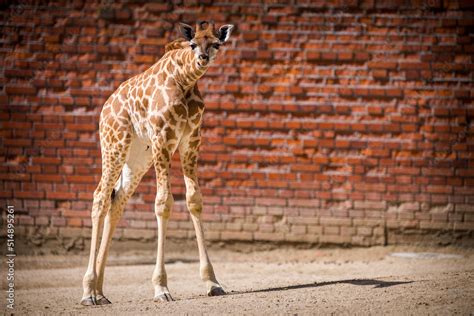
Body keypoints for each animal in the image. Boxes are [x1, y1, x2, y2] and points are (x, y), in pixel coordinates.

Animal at [82, 21, 235, 304]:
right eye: (193, 44)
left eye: (216, 44)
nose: (202, 58)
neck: (185, 81)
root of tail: (104, 109)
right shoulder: (163, 138)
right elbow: (163, 202)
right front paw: (161, 288)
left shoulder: (191, 140)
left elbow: (194, 199)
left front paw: (212, 282)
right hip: (114, 145)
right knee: (100, 197)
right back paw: (87, 292)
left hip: (137, 157)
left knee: (117, 202)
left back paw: (100, 292)